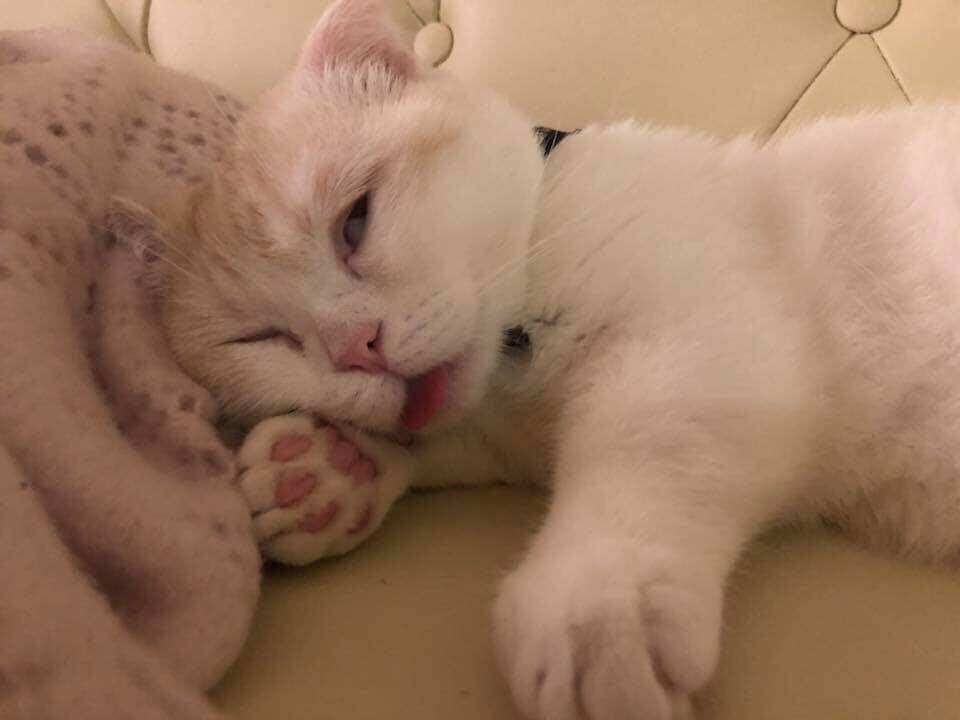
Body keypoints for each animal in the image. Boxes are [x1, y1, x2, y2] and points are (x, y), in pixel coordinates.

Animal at [111, 2, 960, 720]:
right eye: (260, 339)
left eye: (354, 221)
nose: (357, 348)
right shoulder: (501, 433)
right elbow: (447, 439)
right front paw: (325, 469)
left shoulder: (702, 337)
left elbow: (645, 451)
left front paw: (594, 607)